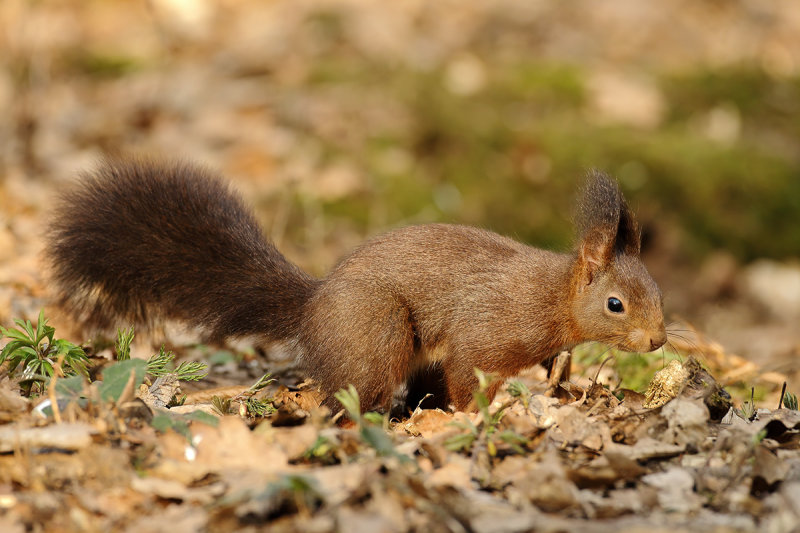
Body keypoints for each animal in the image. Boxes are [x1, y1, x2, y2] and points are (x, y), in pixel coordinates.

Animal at [47, 157, 664, 412]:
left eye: (658, 294)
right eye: (615, 304)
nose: (658, 340)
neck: (553, 295)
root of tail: (313, 306)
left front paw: (559, 382)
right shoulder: (489, 330)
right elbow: (470, 374)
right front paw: (480, 415)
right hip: (377, 330)